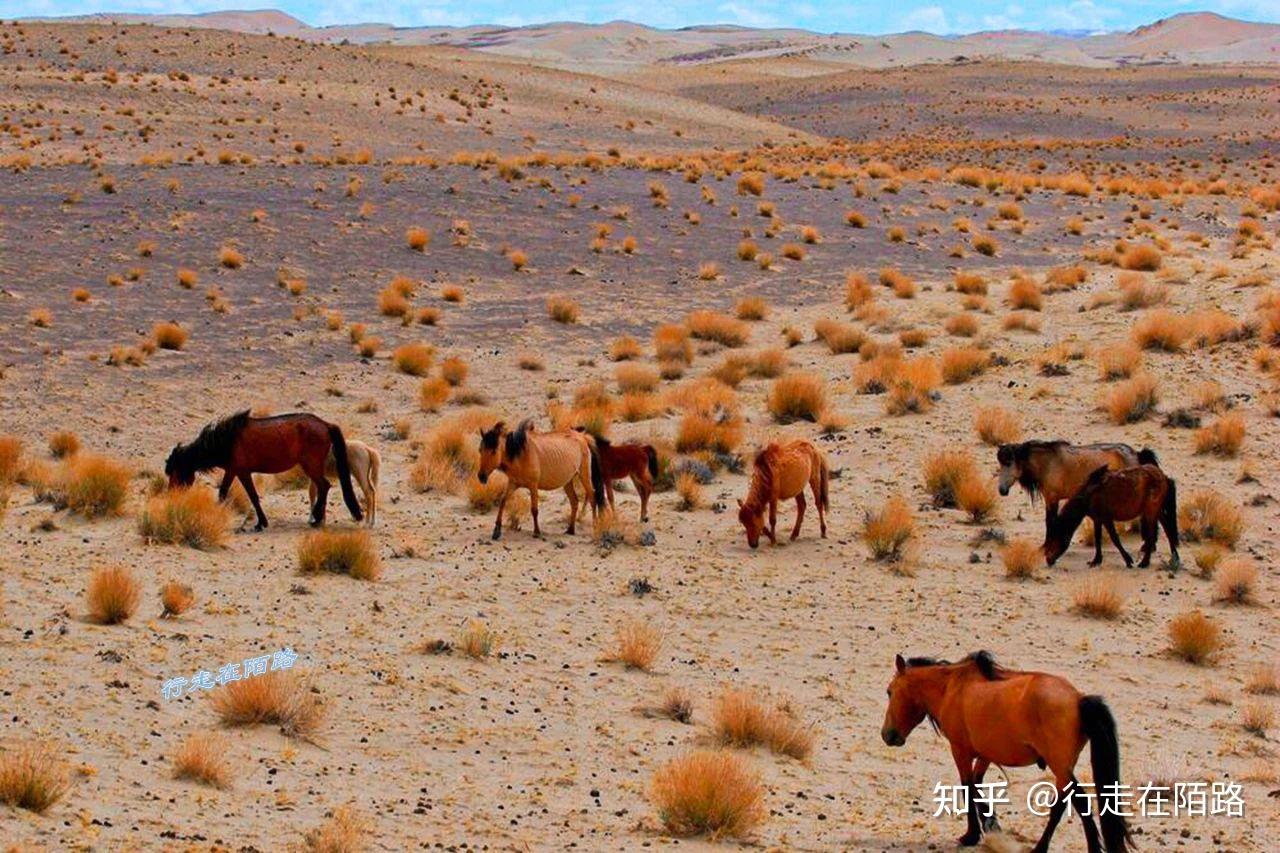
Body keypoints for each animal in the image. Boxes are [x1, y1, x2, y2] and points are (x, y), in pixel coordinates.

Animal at [165, 409, 363, 527]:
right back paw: (319, 519)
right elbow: (223, 492)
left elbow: (251, 496)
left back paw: (316, 519)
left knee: (324, 486)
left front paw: (261, 523)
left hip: (311, 465)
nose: (172, 496)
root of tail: (325, 424)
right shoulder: (232, 471)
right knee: (324, 487)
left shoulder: (242, 472)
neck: (226, 440)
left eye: (175, 472)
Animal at [478, 417, 606, 537]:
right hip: (568, 481)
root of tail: (583, 437)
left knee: (592, 497)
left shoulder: (533, 486)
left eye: (494, 451)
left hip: (584, 476)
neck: (521, 454)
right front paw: (496, 531)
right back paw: (570, 530)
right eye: (480, 450)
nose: (481, 476)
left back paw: (595, 527)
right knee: (574, 501)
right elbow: (503, 501)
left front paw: (537, 531)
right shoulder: (513, 483)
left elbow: (534, 509)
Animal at [880, 650, 1131, 850]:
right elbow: (977, 785)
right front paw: (991, 825)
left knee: (1078, 803)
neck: (950, 687)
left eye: (889, 691)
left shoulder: (960, 750)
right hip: (1063, 767)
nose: (887, 735)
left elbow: (967, 787)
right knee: (1062, 804)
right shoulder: (986, 753)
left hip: (1059, 764)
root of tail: (1079, 699)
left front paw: (971, 835)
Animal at [993, 438, 1157, 537]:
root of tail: (1136, 454)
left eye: (1008, 463)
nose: (1002, 490)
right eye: (1001, 463)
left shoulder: (1052, 499)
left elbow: (1050, 523)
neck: (1049, 463)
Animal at [1044, 461, 1172, 568]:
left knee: (1152, 535)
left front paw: (1128, 560)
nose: (1048, 560)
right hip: (1156, 511)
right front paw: (1096, 561)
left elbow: (1115, 538)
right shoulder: (1097, 519)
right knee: (1166, 528)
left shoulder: (1106, 518)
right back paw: (1172, 558)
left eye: (1054, 538)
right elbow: (1098, 538)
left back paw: (1145, 562)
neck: (1088, 495)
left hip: (1151, 511)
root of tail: (1163, 476)